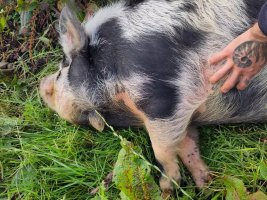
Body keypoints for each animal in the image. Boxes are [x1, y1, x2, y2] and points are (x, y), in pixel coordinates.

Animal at [39, 0, 267, 193]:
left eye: (60, 72)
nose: (41, 85)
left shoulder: (163, 97)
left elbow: (162, 150)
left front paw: (167, 189)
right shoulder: (186, 114)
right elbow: (186, 143)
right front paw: (206, 185)